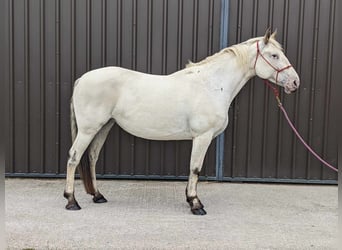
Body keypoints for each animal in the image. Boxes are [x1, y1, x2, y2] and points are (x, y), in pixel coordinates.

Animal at [64, 29, 300, 215]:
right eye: (274, 55)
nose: (295, 82)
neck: (212, 85)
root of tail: (81, 79)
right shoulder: (202, 136)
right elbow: (195, 168)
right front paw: (196, 204)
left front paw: (191, 200)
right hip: (88, 130)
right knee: (74, 158)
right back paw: (71, 201)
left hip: (104, 126)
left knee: (91, 158)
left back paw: (98, 196)